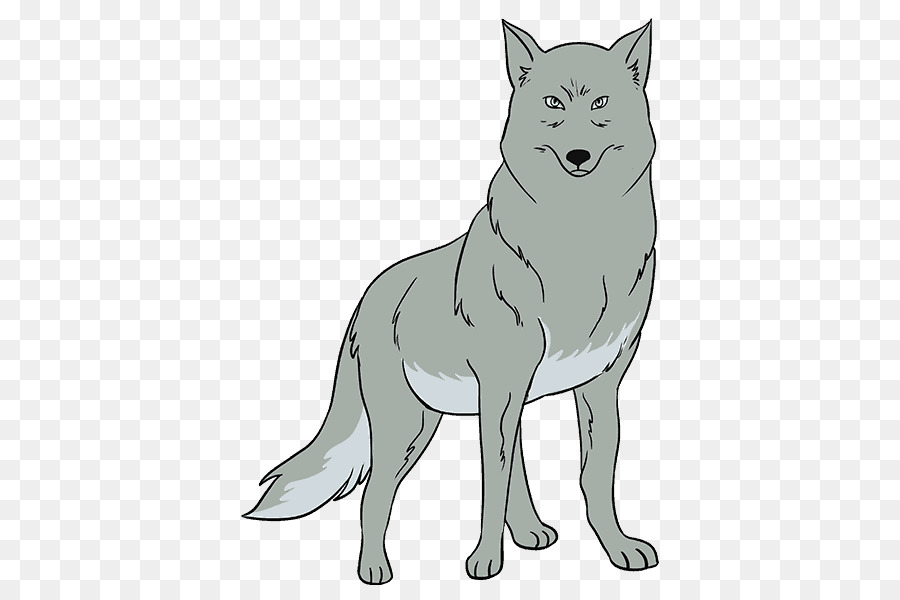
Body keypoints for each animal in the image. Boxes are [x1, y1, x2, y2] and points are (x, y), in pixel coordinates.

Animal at [245, 20, 659, 583]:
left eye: (600, 103)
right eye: (553, 102)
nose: (577, 156)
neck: (578, 240)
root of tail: (366, 299)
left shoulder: (597, 386)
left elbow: (592, 477)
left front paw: (617, 548)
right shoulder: (503, 389)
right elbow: (491, 484)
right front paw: (484, 561)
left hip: (478, 408)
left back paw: (530, 534)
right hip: (410, 426)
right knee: (375, 494)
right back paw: (373, 569)